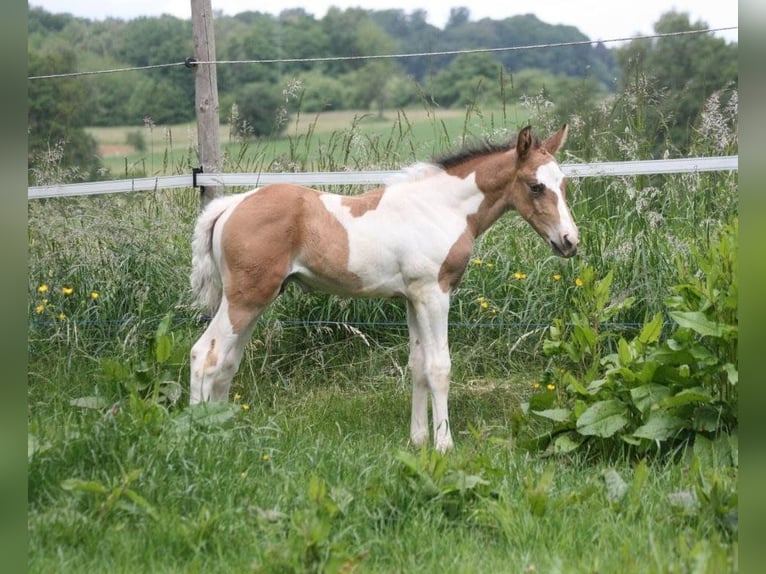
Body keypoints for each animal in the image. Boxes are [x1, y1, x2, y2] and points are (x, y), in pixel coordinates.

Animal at [189, 126, 580, 454]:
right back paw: (198, 434)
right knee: (205, 355)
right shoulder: (434, 294)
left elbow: (418, 366)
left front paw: (418, 440)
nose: (570, 241)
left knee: (227, 361)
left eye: (563, 185)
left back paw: (224, 428)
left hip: (253, 300)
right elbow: (439, 367)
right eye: (535, 186)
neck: (439, 208)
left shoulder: (412, 299)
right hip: (245, 299)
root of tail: (230, 206)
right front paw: (444, 445)